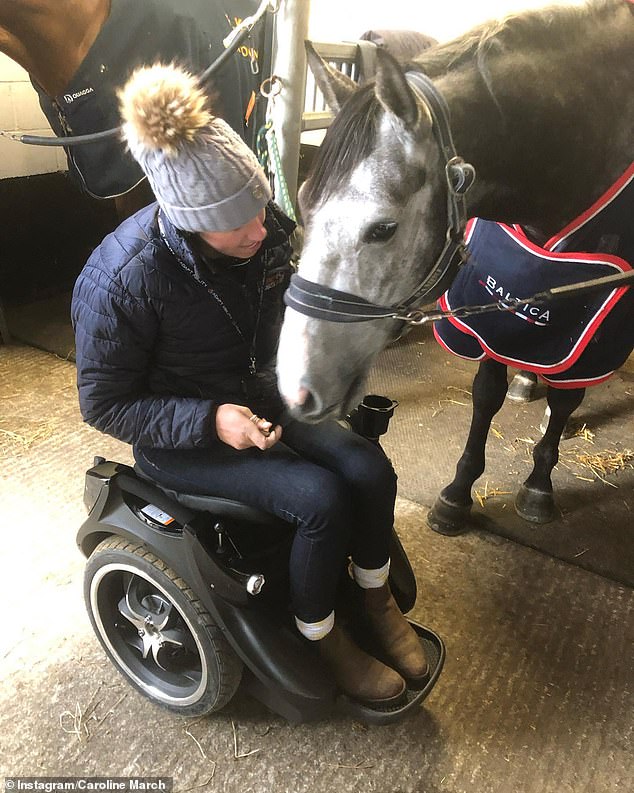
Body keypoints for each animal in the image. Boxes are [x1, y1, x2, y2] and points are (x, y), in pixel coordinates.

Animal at [278, 1, 632, 532]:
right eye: (302, 202)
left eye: (383, 228)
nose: (296, 390)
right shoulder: (498, 306)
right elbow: (486, 394)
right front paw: (458, 493)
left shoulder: (597, 322)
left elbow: (567, 397)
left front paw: (538, 486)